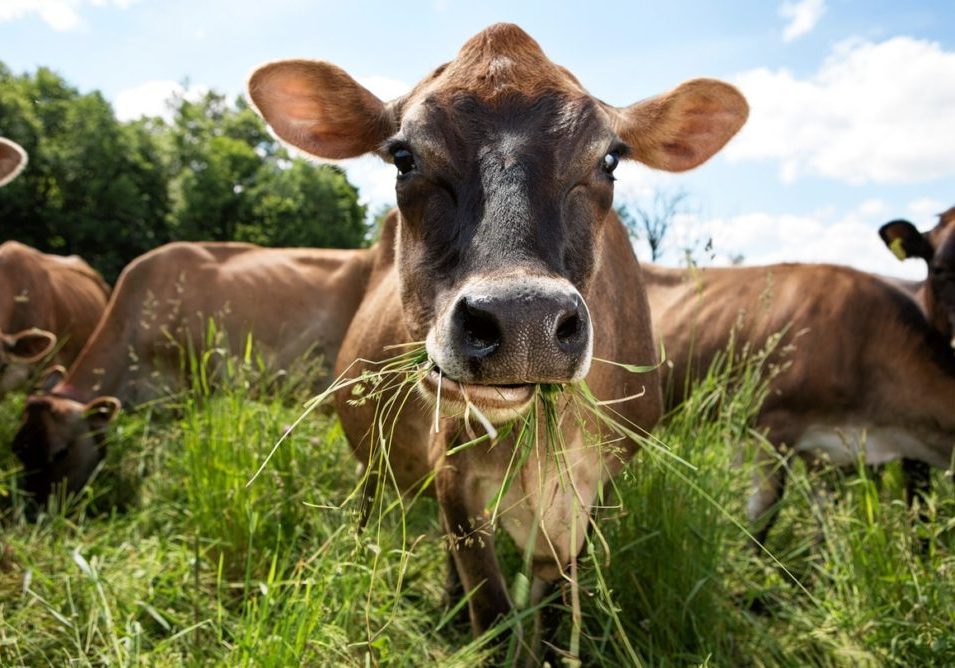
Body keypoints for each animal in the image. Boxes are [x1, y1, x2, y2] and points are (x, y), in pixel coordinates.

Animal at [247, 23, 747, 653]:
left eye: (610, 158)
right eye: (403, 156)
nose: (523, 320)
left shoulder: (594, 491)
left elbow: (552, 616)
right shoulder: (453, 472)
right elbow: (491, 610)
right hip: (371, 459)